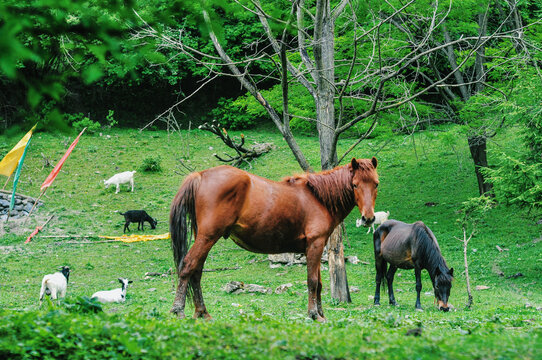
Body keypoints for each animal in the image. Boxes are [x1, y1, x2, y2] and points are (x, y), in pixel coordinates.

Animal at [169, 157, 378, 320]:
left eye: (375, 183)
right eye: (355, 185)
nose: (368, 218)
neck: (319, 198)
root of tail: (200, 175)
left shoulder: (317, 247)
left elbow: (318, 283)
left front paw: (320, 314)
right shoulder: (315, 245)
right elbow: (312, 281)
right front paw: (313, 314)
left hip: (204, 238)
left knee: (196, 272)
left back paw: (202, 312)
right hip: (208, 237)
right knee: (187, 266)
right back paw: (178, 310)